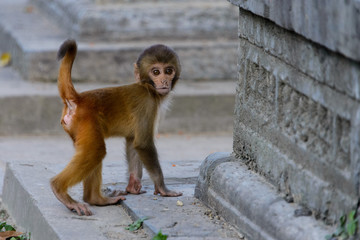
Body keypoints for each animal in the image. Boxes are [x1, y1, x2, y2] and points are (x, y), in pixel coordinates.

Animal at [51, 39, 183, 216]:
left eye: (168, 71)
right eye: (156, 72)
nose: (164, 82)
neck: (147, 87)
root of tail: (78, 99)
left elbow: (133, 142)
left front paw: (133, 185)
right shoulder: (147, 104)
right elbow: (143, 144)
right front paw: (163, 189)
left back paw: (95, 199)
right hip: (86, 120)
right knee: (97, 150)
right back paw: (60, 189)